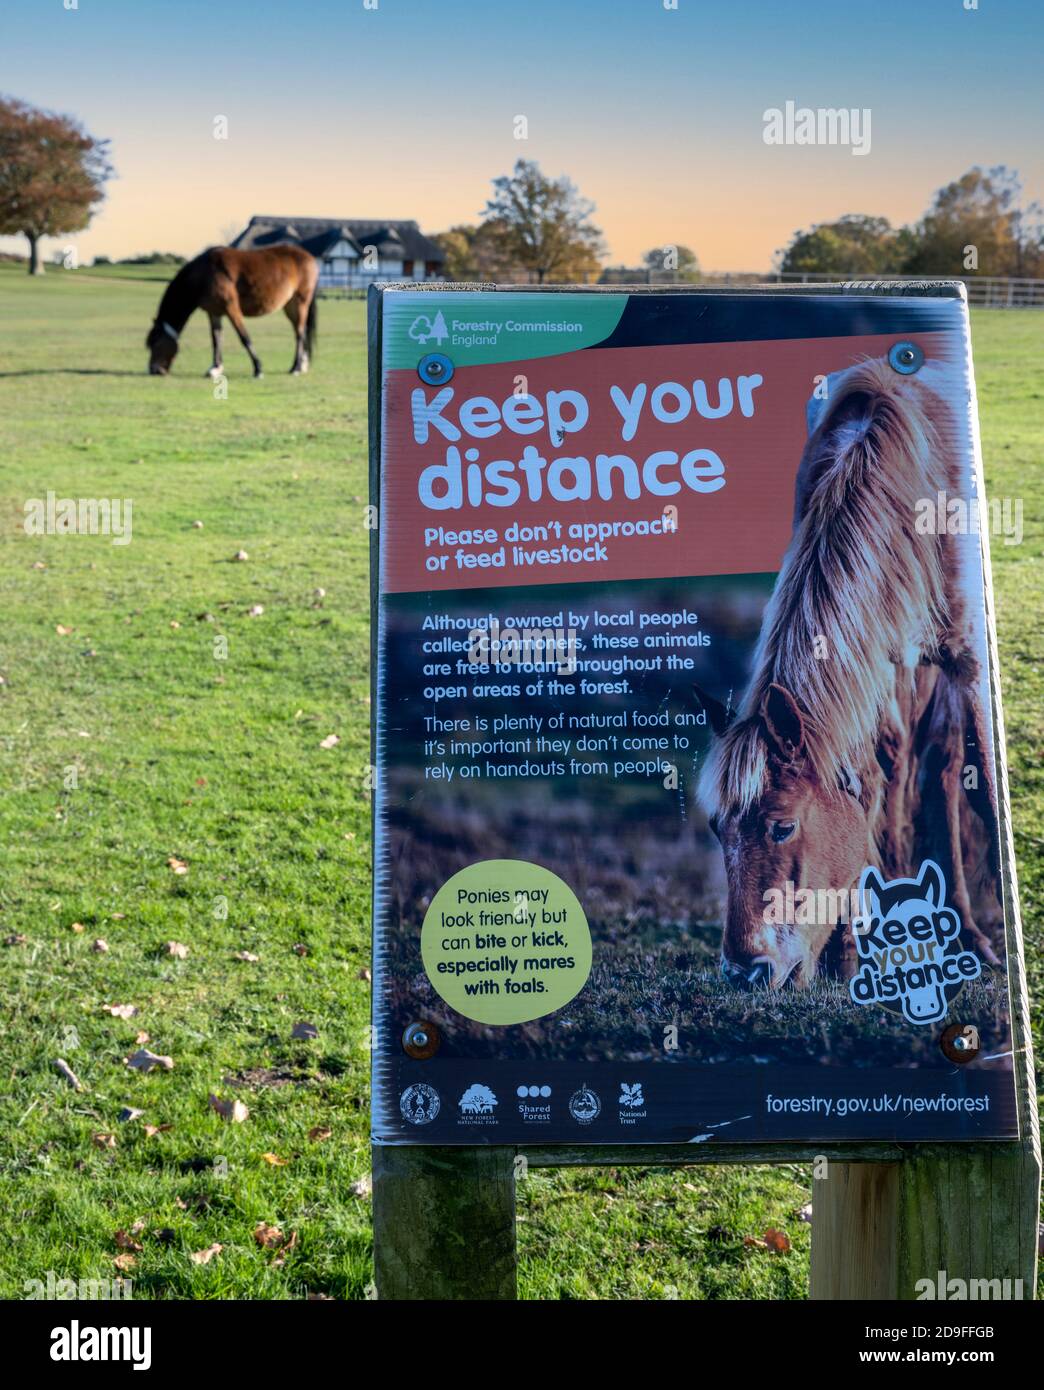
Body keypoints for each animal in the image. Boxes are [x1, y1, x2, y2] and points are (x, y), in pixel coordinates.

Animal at [145, 244, 318, 375]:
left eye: (155, 343)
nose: (154, 370)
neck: (205, 273)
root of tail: (309, 257)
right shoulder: (214, 312)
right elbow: (216, 339)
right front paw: (215, 368)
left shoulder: (231, 308)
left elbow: (244, 337)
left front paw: (258, 368)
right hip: (290, 306)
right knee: (300, 332)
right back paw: (300, 365)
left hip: (300, 303)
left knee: (300, 333)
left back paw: (296, 367)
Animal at [697, 358, 1000, 989]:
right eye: (716, 828)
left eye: (782, 826)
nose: (744, 972)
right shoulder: (866, 675)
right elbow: (864, 789)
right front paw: (845, 959)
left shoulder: (968, 662)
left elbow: (981, 789)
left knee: (945, 773)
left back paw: (971, 933)